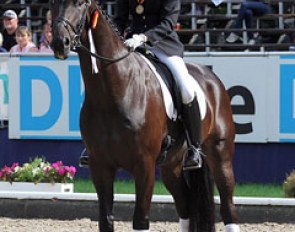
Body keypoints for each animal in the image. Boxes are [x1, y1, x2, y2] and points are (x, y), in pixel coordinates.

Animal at [50, 0, 240, 231]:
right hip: (171, 166)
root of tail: (211, 78)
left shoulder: (144, 165)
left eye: (79, 3)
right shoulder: (100, 165)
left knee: (228, 207)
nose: (60, 43)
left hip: (220, 155)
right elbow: (106, 219)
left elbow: (140, 220)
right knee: (186, 204)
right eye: (52, 3)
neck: (114, 91)